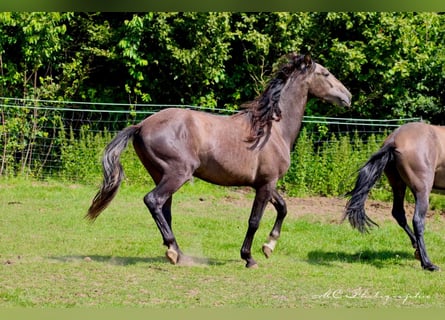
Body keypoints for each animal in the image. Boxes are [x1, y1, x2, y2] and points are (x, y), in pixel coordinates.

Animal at [86, 53, 350, 268]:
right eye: (326, 73)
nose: (348, 96)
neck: (272, 129)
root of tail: (141, 126)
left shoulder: (265, 183)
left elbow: (283, 208)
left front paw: (269, 246)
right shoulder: (266, 184)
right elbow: (254, 220)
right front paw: (249, 257)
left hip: (161, 175)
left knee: (164, 210)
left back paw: (177, 253)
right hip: (177, 175)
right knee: (153, 201)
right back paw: (174, 251)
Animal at [346, 121, 444, 272]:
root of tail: (394, 139)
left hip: (398, 185)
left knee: (398, 214)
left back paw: (417, 250)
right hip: (422, 190)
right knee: (418, 221)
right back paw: (428, 263)